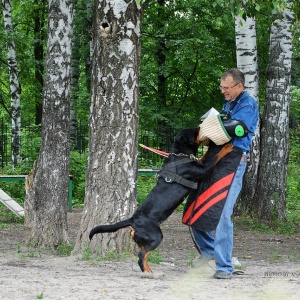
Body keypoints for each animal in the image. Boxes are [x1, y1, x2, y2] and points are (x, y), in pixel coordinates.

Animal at [89, 127, 232, 274]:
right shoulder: (203, 169)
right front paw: (227, 147)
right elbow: (215, 157)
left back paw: (148, 270)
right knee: (141, 256)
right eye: (194, 131)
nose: (199, 127)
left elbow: (204, 157)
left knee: (143, 255)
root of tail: (132, 220)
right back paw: (148, 272)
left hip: (145, 240)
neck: (180, 155)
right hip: (157, 236)